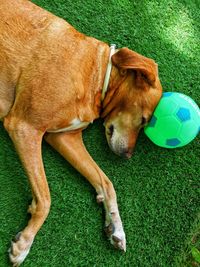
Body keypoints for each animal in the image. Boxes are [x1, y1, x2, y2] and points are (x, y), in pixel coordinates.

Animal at [0, 0, 162, 266]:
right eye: (144, 120)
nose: (128, 156)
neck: (96, 76)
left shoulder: (63, 137)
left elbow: (106, 182)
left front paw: (116, 226)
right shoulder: (24, 127)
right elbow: (46, 198)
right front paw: (25, 242)